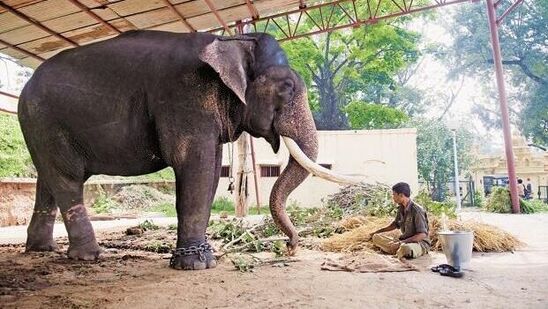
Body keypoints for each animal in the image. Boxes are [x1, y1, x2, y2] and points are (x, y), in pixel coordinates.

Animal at [17, 29, 354, 270]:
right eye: (287, 87)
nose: (291, 247)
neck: (229, 40)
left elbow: (212, 169)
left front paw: (203, 259)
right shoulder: (184, 97)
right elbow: (195, 164)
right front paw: (195, 265)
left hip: (40, 127)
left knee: (47, 180)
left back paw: (42, 249)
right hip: (46, 121)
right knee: (67, 179)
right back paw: (87, 257)